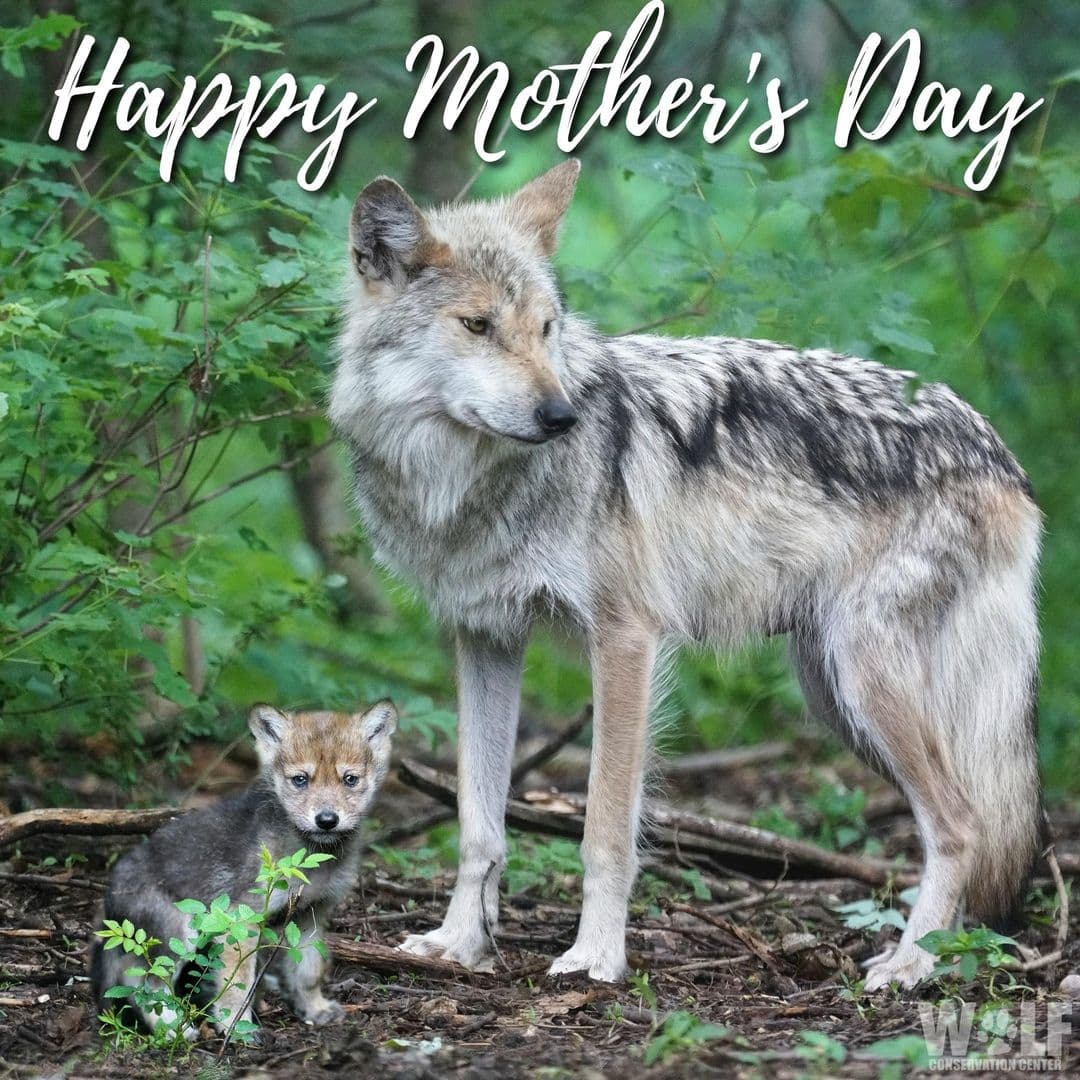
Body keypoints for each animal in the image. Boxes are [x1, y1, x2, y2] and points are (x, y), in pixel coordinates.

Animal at [91, 700, 396, 1035]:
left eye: (349, 779)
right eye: (300, 779)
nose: (327, 820)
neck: (311, 858)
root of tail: (110, 892)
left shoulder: (311, 917)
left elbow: (308, 973)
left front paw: (314, 1010)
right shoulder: (240, 919)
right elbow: (237, 985)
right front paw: (238, 1030)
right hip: (178, 935)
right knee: (144, 983)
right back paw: (173, 1029)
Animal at [328, 160, 1042, 991]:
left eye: (547, 328)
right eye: (477, 326)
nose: (563, 416)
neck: (463, 485)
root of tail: (999, 451)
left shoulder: (625, 640)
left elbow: (605, 830)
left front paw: (595, 958)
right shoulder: (485, 640)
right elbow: (479, 825)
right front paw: (459, 944)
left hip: (867, 685)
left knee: (962, 825)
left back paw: (912, 965)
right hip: (836, 696)